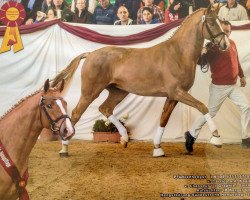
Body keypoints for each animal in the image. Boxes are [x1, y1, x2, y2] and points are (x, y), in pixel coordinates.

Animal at [51, 7, 229, 157]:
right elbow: (202, 106)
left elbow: (163, 119)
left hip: (119, 91)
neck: (178, 54)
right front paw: (217, 138)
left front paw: (158, 149)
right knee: (76, 113)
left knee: (105, 108)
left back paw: (124, 139)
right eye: (212, 22)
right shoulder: (177, 92)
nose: (225, 44)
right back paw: (64, 148)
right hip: (90, 92)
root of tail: (90, 54)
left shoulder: (172, 96)